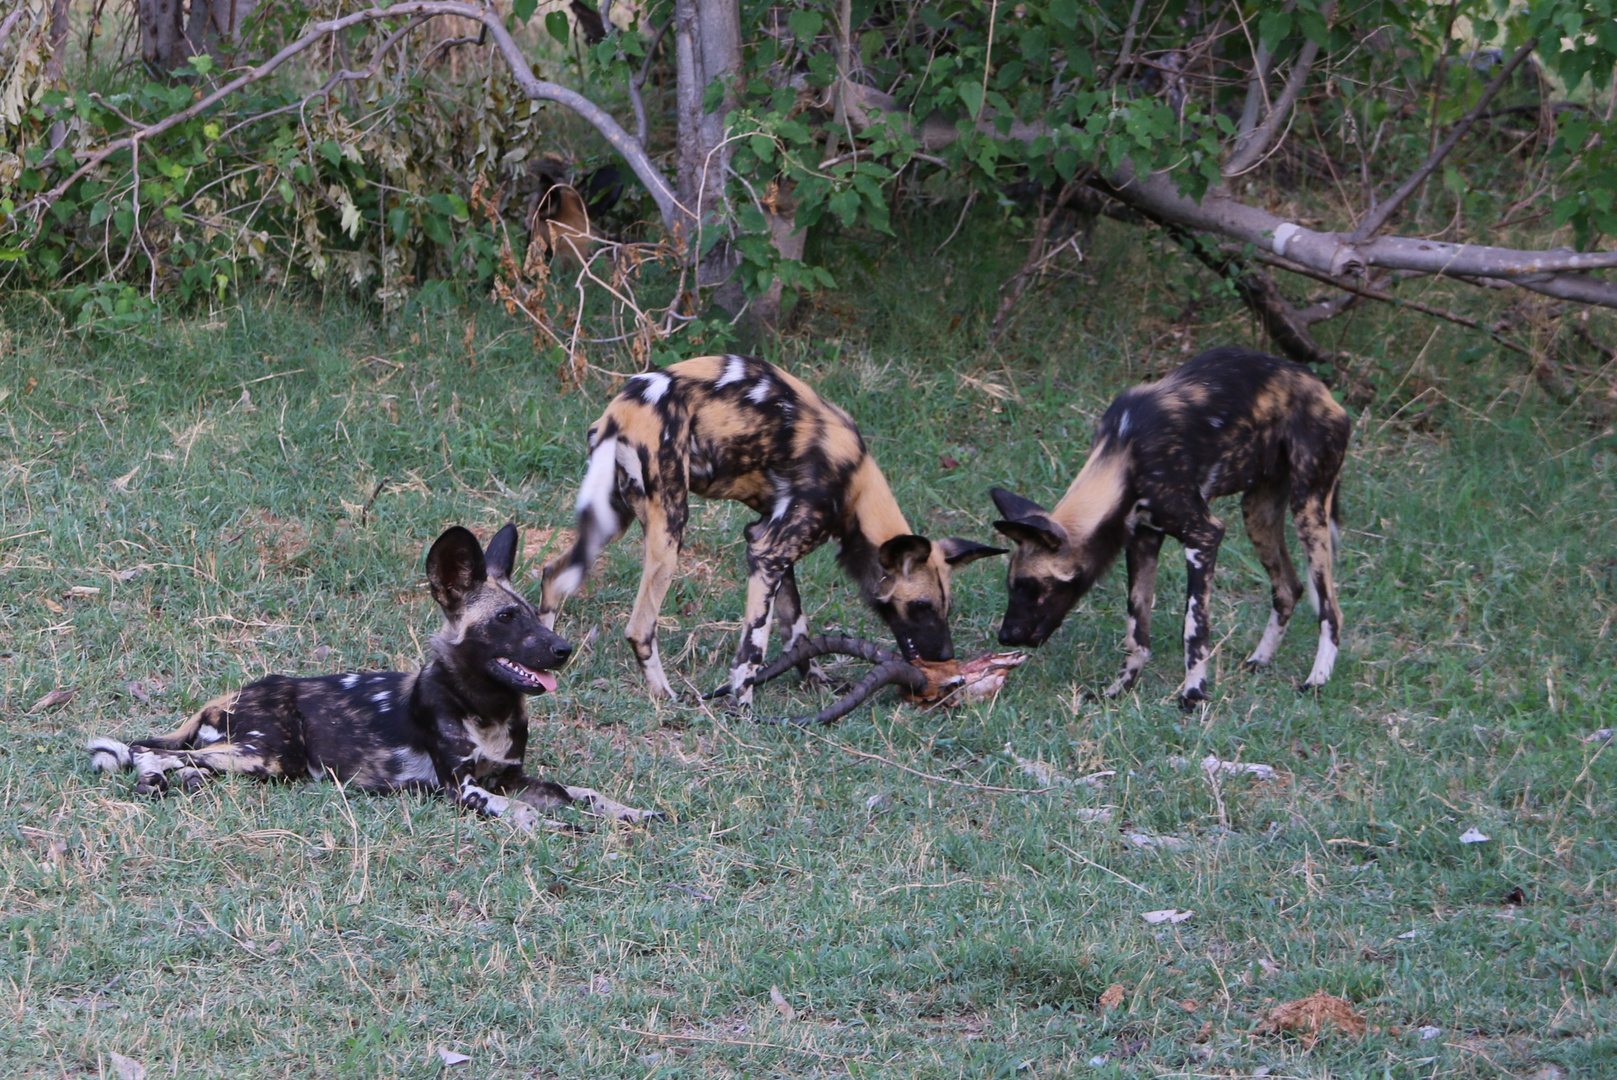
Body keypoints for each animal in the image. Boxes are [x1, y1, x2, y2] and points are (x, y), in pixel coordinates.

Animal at [86, 523, 656, 827]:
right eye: (505, 619)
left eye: (537, 614)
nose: (563, 650)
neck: (487, 708)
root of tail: (229, 695)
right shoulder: (465, 788)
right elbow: (519, 809)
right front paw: (544, 824)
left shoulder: (514, 777)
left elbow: (581, 792)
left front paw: (631, 811)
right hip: (269, 754)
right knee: (146, 750)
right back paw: (153, 779)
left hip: (255, 762)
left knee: (182, 761)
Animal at [536, 354, 1002, 704]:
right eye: (921, 607)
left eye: (945, 607)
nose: (946, 656)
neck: (855, 483)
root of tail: (623, 409)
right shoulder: (769, 552)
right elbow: (753, 649)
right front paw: (743, 707)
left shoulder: (773, 549)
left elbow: (798, 631)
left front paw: (815, 681)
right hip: (669, 529)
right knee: (640, 627)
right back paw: (665, 695)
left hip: (613, 518)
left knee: (554, 575)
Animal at [983, 345, 1351, 708]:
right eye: (1013, 586)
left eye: (1028, 587)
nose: (1005, 636)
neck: (1123, 460)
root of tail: (1318, 386)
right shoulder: (1142, 540)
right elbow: (1136, 631)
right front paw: (1118, 690)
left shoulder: (1203, 537)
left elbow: (1194, 628)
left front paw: (1194, 694)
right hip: (1258, 515)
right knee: (1289, 588)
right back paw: (1260, 660)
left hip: (1307, 510)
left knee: (1331, 610)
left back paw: (1317, 680)